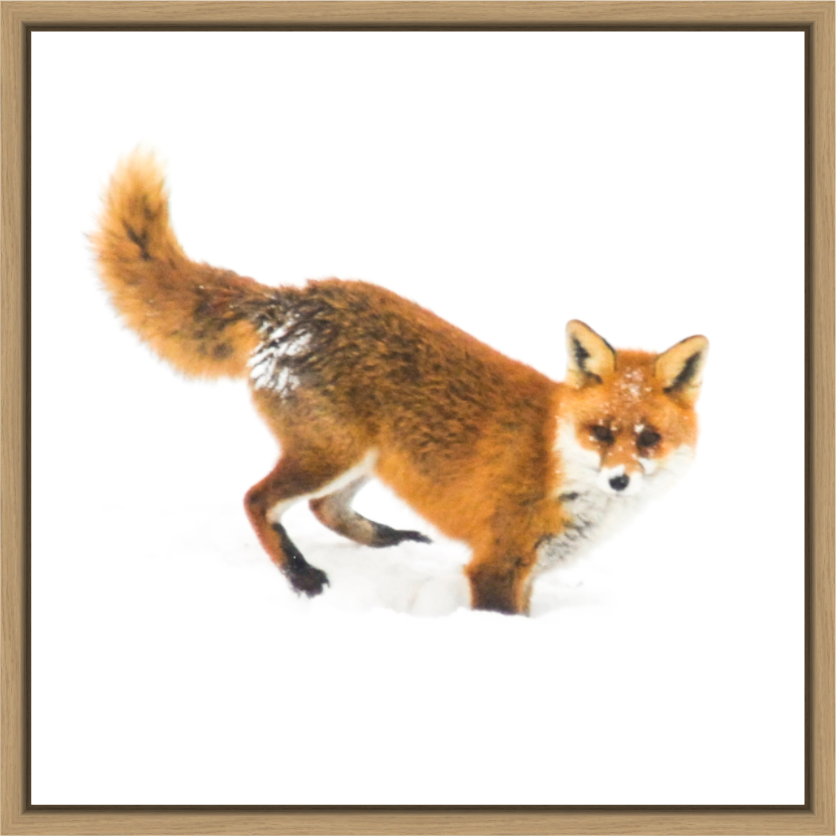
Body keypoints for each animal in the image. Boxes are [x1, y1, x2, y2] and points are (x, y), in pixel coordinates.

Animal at [92, 151, 708, 616]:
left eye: (648, 438)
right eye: (600, 433)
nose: (621, 481)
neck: (559, 465)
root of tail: (287, 301)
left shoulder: (527, 569)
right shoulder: (496, 565)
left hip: (368, 458)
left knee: (324, 509)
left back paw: (388, 539)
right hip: (332, 452)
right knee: (257, 500)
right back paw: (301, 575)